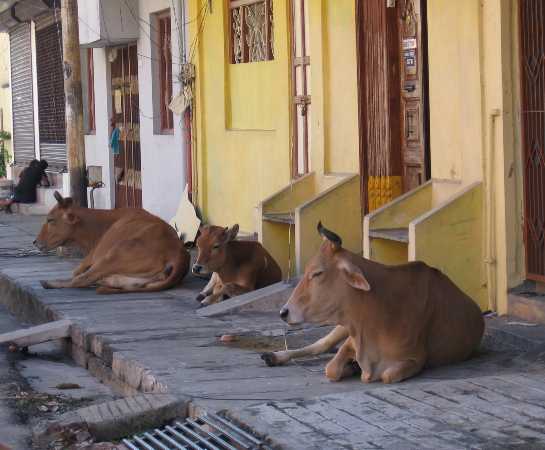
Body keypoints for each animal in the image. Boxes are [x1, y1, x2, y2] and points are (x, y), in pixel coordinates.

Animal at [34, 192, 190, 294]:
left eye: (50, 219)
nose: (35, 242)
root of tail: (179, 253)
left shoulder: (91, 258)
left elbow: (76, 273)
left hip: (113, 255)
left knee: (81, 280)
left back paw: (49, 283)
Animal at [262, 221, 482, 384]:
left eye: (317, 273)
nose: (284, 312)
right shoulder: (351, 339)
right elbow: (331, 368)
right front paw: (351, 366)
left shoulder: (417, 358)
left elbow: (387, 375)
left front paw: (354, 368)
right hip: (341, 328)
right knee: (320, 345)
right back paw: (274, 356)